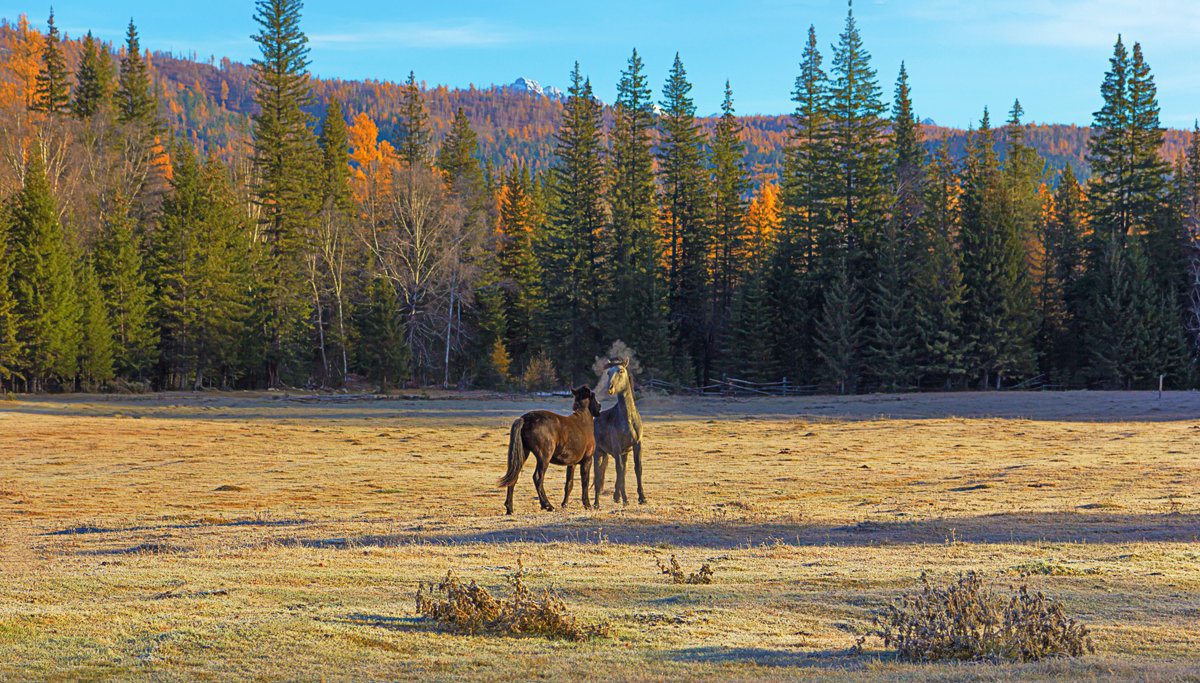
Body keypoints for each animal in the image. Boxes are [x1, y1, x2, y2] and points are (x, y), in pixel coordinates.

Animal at [592, 360, 648, 504]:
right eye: (608, 372)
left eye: (621, 371)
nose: (610, 387)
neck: (628, 419)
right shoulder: (617, 447)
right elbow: (619, 469)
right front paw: (625, 499)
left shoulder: (637, 444)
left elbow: (637, 469)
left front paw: (642, 497)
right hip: (599, 453)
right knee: (598, 475)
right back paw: (596, 503)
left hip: (624, 453)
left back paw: (616, 496)